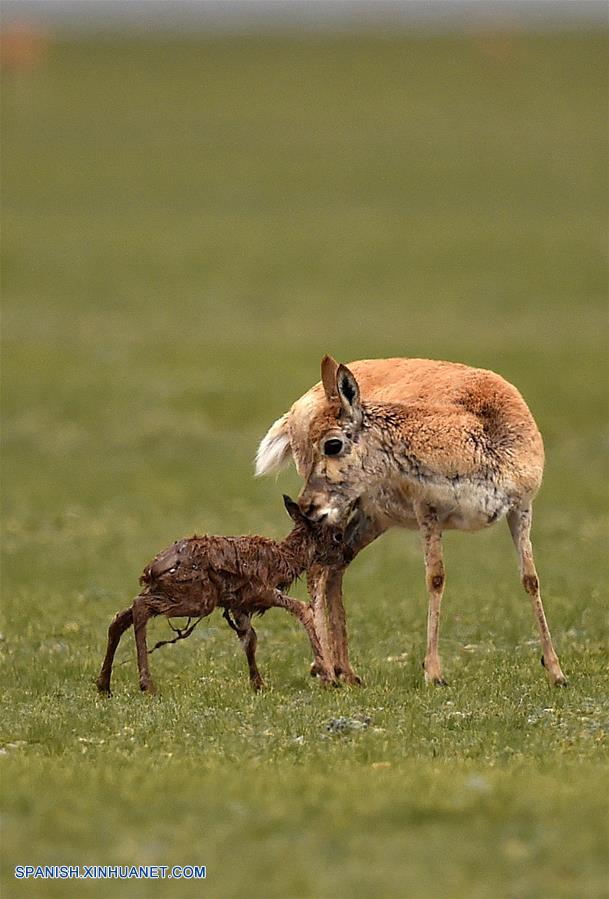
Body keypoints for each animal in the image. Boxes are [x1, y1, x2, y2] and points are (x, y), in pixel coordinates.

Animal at [98, 496, 346, 692]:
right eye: (336, 537)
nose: (343, 555)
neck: (283, 559)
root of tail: (150, 570)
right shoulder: (261, 591)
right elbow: (302, 609)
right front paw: (328, 677)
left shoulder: (238, 605)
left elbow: (249, 639)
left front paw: (258, 684)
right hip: (197, 598)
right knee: (139, 607)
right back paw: (146, 685)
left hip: (171, 592)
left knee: (120, 617)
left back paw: (104, 685)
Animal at [254, 356, 568, 684]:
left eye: (332, 444)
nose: (305, 505)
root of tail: (297, 406)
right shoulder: (427, 511)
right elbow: (436, 577)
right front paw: (434, 672)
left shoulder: (522, 507)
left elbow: (530, 579)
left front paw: (556, 671)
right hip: (345, 512)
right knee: (318, 570)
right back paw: (325, 669)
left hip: (372, 518)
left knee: (334, 567)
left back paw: (347, 672)